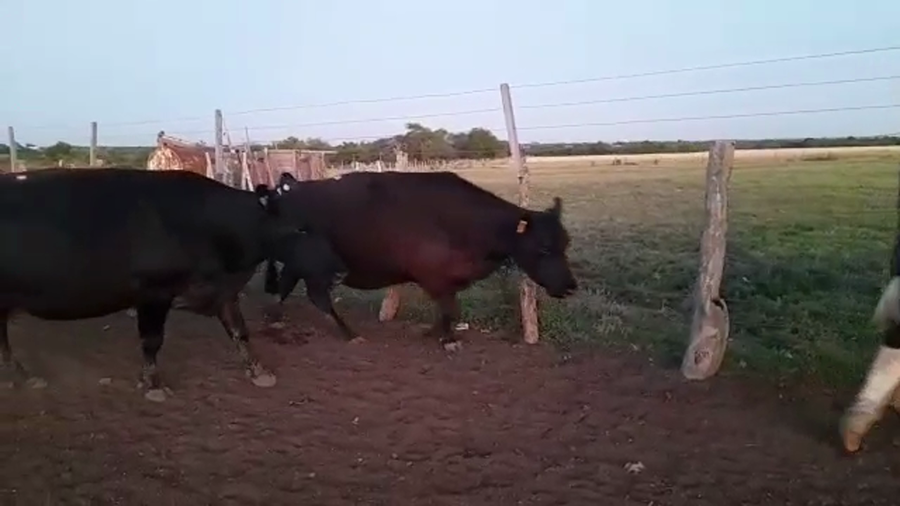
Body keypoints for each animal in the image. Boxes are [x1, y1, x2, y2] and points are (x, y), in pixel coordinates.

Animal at [0, 167, 345, 402]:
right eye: (299, 229)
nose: (340, 272)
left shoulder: (222, 290)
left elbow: (239, 331)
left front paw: (258, 371)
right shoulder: (153, 293)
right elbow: (152, 340)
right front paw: (153, 384)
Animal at [263, 170, 578, 351]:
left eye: (565, 244)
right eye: (544, 248)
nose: (570, 286)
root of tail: (284, 191)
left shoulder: (447, 280)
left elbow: (449, 310)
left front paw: (435, 333)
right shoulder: (433, 277)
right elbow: (450, 310)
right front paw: (447, 340)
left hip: (297, 263)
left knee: (286, 286)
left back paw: (276, 320)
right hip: (313, 265)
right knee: (316, 295)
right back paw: (348, 333)